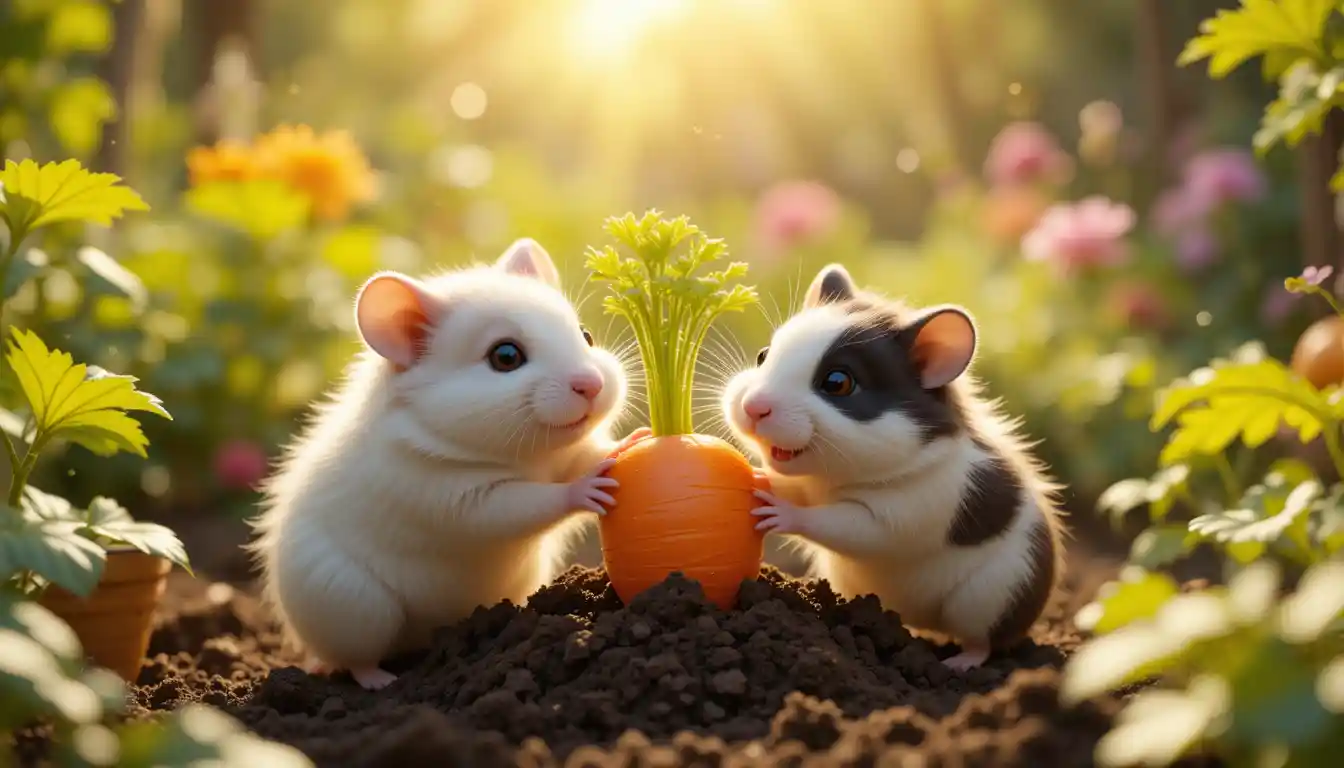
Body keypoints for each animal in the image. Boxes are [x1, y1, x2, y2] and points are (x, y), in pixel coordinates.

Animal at [248, 238, 647, 690]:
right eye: (505, 356)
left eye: (586, 335)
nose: (592, 385)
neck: (527, 456)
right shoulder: (451, 496)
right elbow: (522, 505)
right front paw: (587, 489)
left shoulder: (564, 456)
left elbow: (588, 453)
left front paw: (633, 440)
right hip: (356, 608)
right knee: (354, 659)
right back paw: (379, 681)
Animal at [720, 263, 1065, 671]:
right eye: (763, 355)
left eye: (837, 382)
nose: (754, 408)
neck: (833, 481)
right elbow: (786, 484)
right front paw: (760, 478)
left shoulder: (904, 514)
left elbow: (846, 526)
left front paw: (780, 513)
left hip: (992, 596)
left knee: (982, 640)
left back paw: (960, 663)